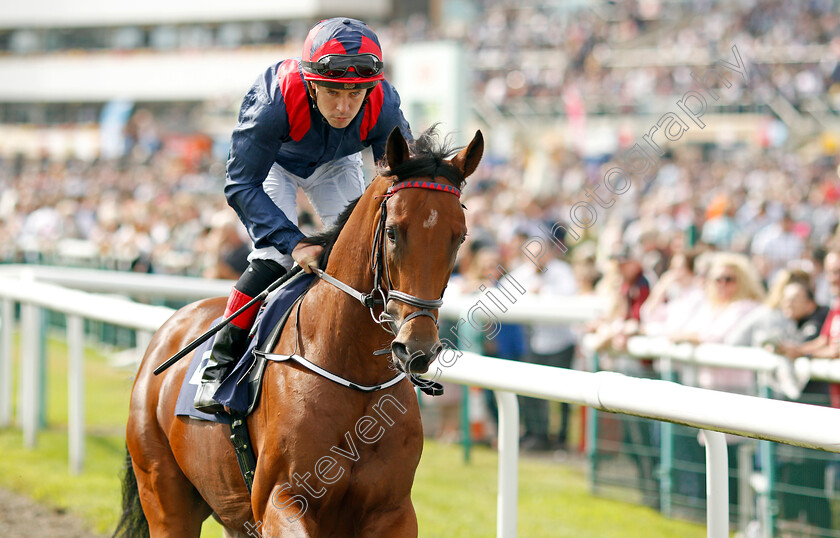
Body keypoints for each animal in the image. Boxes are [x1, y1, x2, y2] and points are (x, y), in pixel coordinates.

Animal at [116, 126, 486, 536]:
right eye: (392, 232)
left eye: (459, 237)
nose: (418, 347)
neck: (356, 374)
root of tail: (169, 328)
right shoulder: (280, 499)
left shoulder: (394, 511)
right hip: (164, 496)